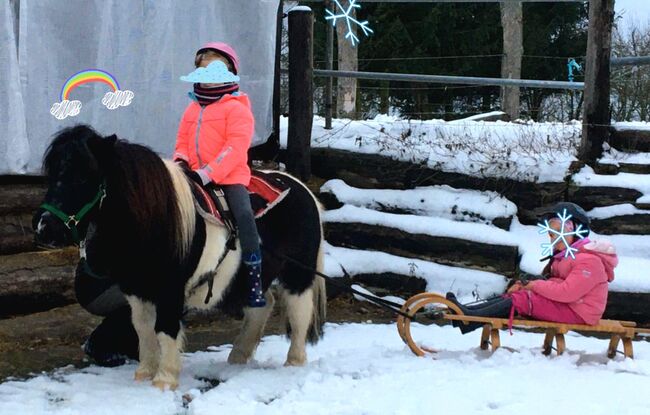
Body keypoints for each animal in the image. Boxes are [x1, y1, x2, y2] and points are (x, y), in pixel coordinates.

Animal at [32, 125, 324, 392]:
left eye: (83, 176)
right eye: (51, 173)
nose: (44, 227)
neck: (156, 217)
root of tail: (303, 190)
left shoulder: (169, 290)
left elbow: (165, 328)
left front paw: (164, 380)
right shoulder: (137, 290)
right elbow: (143, 329)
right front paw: (144, 374)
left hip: (297, 276)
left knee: (299, 311)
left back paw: (293, 362)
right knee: (262, 306)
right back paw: (238, 356)